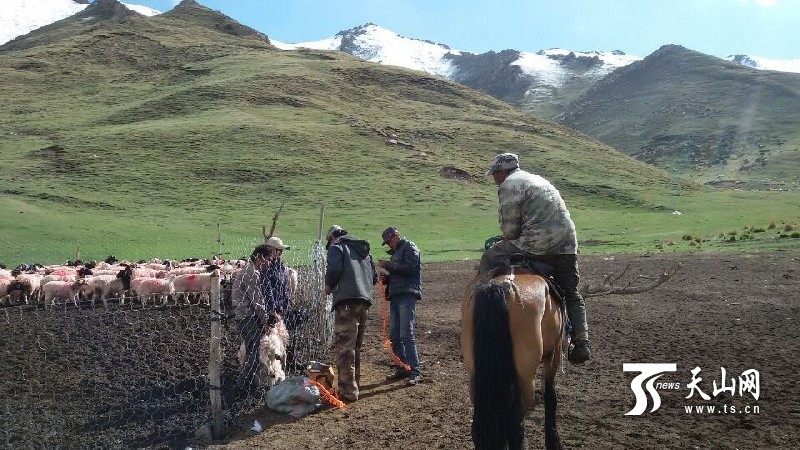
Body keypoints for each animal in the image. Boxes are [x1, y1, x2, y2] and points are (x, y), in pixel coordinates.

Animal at [460, 268, 564, 450]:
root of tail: (499, 285)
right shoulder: (554, 352)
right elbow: (551, 395)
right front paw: (554, 441)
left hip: (476, 376)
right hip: (525, 379)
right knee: (517, 426)